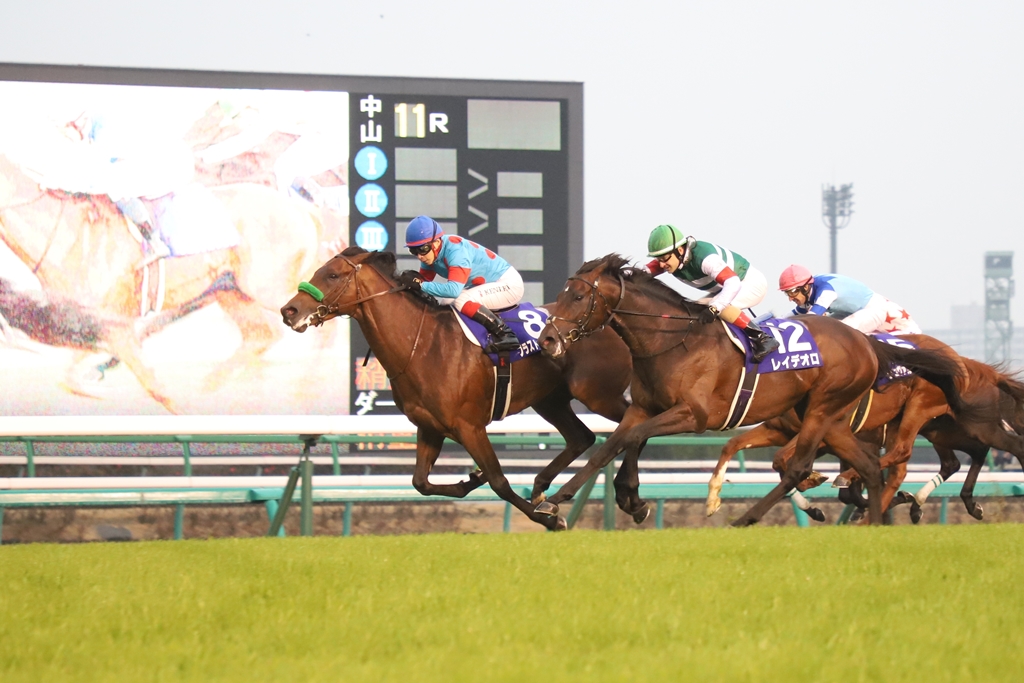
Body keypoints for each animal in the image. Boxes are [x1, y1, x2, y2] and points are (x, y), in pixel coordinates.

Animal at [280, 248, 630, 532]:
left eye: (332, 274)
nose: (289, 311)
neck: (422, 346)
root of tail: (609, 319)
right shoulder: (430, 427)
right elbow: (420, 482)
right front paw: (472, 478)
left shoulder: (470, 426)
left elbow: (499, 481)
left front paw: (550, 519)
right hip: (550, 400)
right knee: (582, 437)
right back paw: (543, 486)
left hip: (599, 395)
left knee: (629, 425)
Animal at [540, 253, 962, 528]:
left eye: (578, 296)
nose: (547, 339)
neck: (672, 340)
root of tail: (865, 342)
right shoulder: (642, 407)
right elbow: (611, 446)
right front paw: (559, 499)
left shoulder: (693, 415)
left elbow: (632, 439)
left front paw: (627, 498)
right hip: (834, 420)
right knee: (870, 467)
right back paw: (872, 521)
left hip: (822, 410)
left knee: (799, 468)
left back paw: (747, 517)